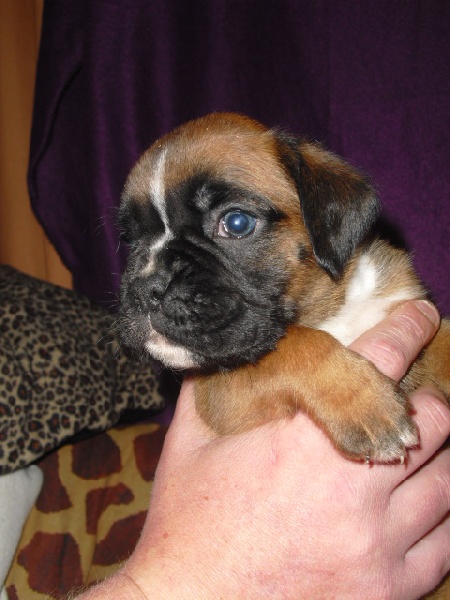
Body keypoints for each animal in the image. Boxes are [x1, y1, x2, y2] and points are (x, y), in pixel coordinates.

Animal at [118, 112, 450, 464]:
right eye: (130, 239)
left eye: (236, 223)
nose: (146, 286)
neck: (332, 311)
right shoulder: (223, 394)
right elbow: (294, 346)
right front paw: (366, 403)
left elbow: (444, 337)